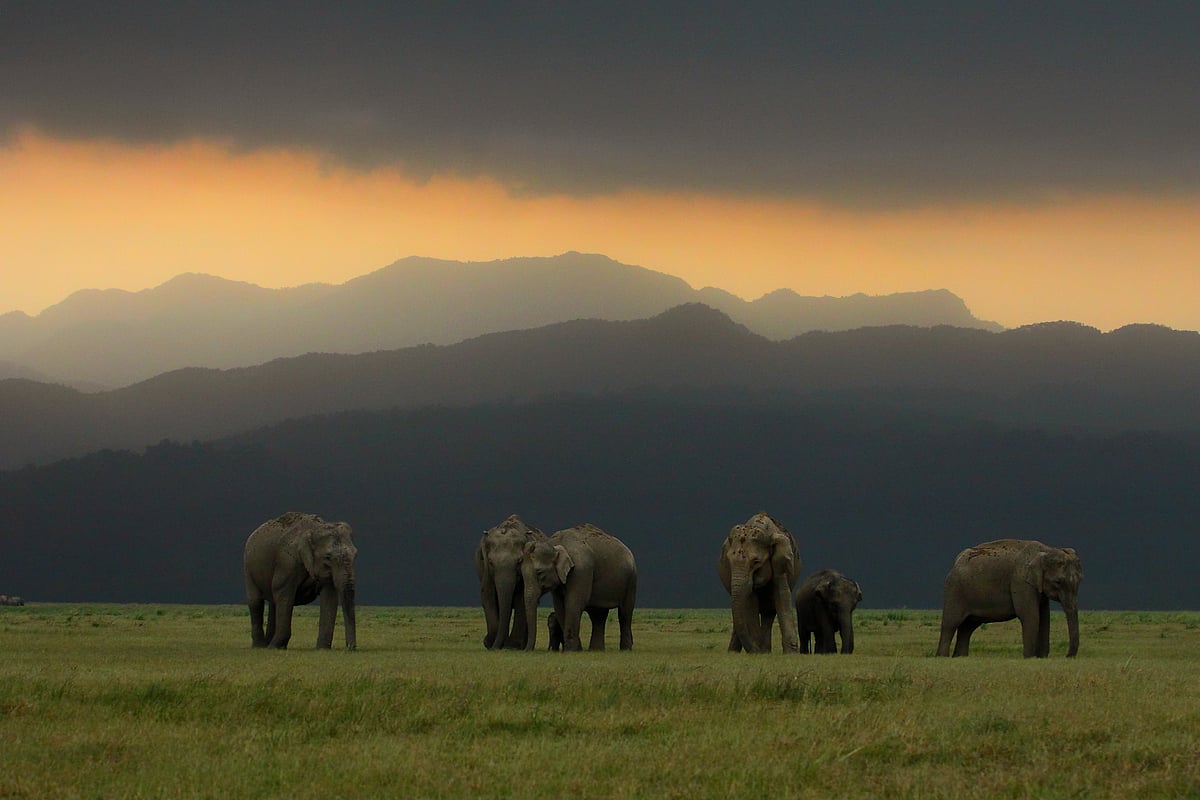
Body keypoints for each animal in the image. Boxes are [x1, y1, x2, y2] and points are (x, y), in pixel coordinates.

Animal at [243, 512, 357, 650]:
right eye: (328, 557)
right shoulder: (287, 563)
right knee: (256, 602)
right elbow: (284, 595)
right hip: (248, 567)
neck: (315, 528)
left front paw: (322, 649)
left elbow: (329, 597)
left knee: (273, 603)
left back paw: (269, 644)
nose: (350, 648)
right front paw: (274, 647)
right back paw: (261, 646)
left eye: (355, 554)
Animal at [475, 514, 548, 650]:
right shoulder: (485, 570)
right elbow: (487, 595)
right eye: (490, 562)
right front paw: (491, 642)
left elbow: (521, 598)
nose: (491, 646)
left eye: (519, 561)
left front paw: (512, 646)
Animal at [520, 523, 638, 651]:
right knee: (598, 615)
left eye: (539, 573)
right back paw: (596, 650)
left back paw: (625, 649)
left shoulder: (581, 570)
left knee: (624, 613)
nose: (525, 651)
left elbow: (573, 603)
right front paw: (576, 649)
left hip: (631, 580)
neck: (555, 544)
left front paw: (571, 651)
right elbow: (560, 606)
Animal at [718, 512, 802, 654]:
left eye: (756, 562)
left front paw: (791, 654)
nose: (755, 650)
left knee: (768, 612)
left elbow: (782, 595)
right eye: (728, 561)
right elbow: (751, 603)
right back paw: (736, 652)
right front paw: (759, 652)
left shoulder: (780, 563)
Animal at [937, 538, 1082, 658]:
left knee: (967, 627)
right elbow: (1031, 616)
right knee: (951, 623)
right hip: (954, 590)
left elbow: (1044, 617)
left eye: (1081, 580)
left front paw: (1041, 658)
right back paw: (942, 657)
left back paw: (959, 657)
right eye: (1058, 582)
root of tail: (955, 562)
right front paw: (1030, 658)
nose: (1067, 656)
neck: (1047, 549)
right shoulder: (1020, 581)